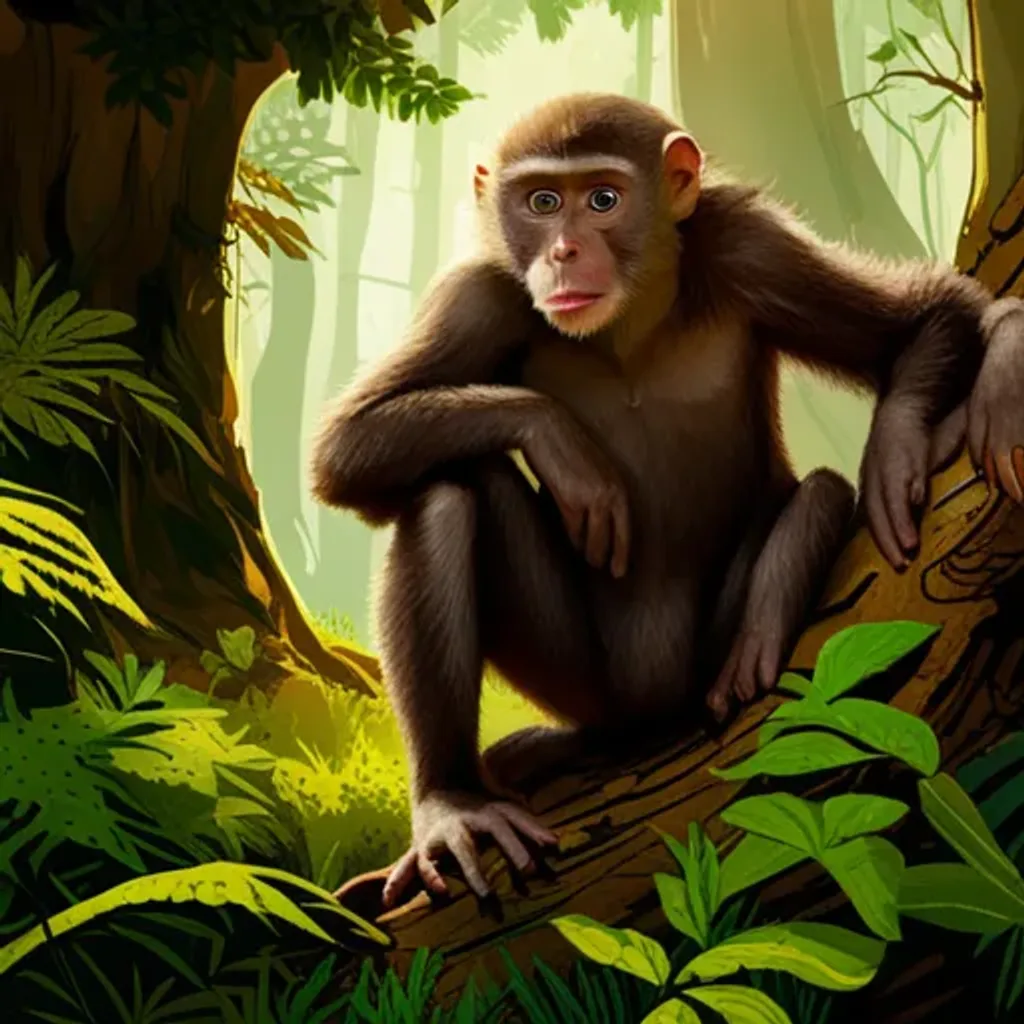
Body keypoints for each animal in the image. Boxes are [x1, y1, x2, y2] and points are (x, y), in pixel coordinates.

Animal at [310, 93, 1024, 909]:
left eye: (604, 199)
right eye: (542, 202)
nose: (564, 250)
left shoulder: (753, 244)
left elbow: (924, 319)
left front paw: (903, 445)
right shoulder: (479, 294)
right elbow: (345, 446)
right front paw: (561, 443)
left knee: (817, 494)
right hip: (583, 687)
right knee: (447, 488)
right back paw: (456, 798)